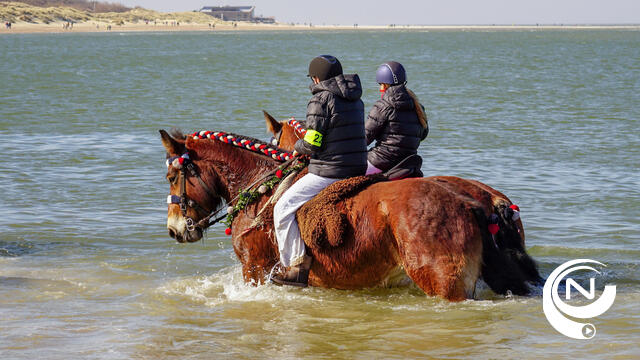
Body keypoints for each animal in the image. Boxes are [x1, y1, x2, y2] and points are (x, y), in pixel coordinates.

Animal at [160, 126, 540, 300]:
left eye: (172, 177)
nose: (175, 230)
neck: (260, 189)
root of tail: (473, 201)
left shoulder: (253, 269)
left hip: (445, 285)